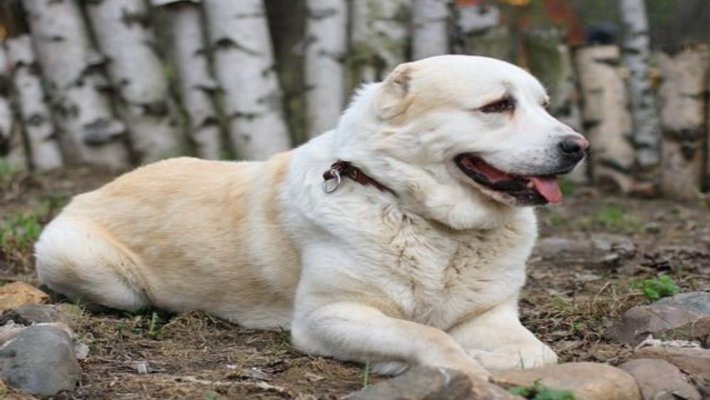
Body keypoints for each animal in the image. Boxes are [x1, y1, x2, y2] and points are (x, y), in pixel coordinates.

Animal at [33, 54, 588, 380]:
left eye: (543, 105)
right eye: (497, 106)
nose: (578, 147)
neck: (422, 216)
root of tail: (91, 189)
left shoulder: (491, 316)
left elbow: (539, 354)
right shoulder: (328, 316)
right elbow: (428, 337)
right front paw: (453, 363)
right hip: (93, 268)